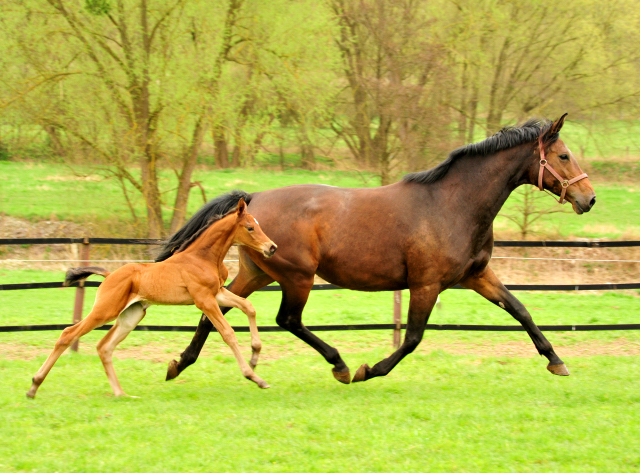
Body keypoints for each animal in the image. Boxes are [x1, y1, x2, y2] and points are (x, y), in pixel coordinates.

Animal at [26, 199, 276, 398]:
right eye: (250, 227)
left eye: (258, 225)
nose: (271, 247)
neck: (203, 257)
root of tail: (109, 275)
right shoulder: (204, 299)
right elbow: (228, 333)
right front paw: (254, 376)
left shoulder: (218, 293)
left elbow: (249, 306)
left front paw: (255, 355)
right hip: (105, 310)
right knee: (68, 334)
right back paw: (34, 386)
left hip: (131, 316)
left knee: (104, 347)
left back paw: (121, 394)